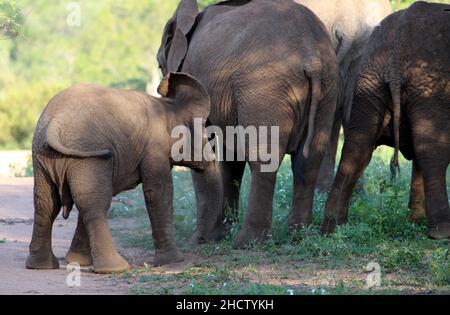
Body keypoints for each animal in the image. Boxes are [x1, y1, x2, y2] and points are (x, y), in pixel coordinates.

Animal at [25, 72, 223, 274]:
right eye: (204, 134)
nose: (201, 240)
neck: (167, 106)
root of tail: (54, 125)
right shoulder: (154, 148)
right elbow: (158, 191)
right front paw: (173, 261)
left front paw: (77, 261)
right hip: (85, 155)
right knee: (96, 203)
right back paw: (115, 268)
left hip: (44, 156)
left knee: (48, 203)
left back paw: (41, 266)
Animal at [158, 0, 338, 249]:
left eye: (159, 66)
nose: (201, 239)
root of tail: (312, 57)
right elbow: (230, 156)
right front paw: (219, 234)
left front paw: (201, 240)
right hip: (328, 89)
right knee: (310, 159)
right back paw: (300, 236)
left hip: (264, 89)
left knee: (263, 158)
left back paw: (247, 242)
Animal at [320, 1, 450, 239]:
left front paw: (415, 223)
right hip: (429, 87)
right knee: (432, 152)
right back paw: (442, 233)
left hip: (369, 80)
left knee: (356, 150)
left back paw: (332, 230)